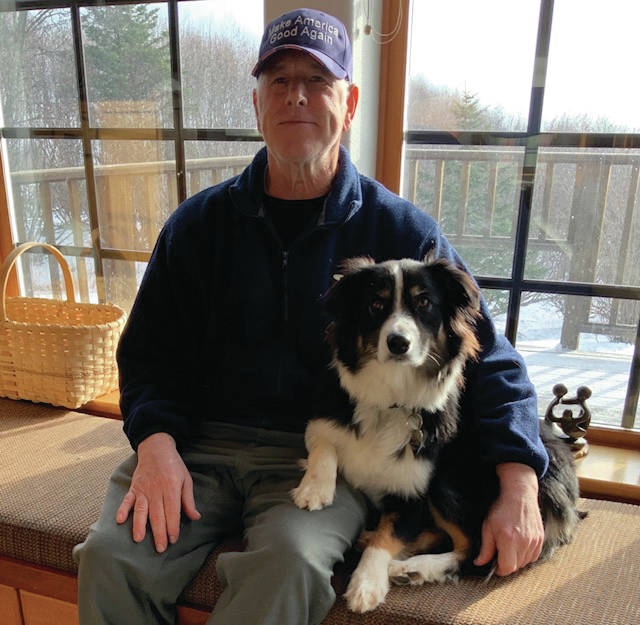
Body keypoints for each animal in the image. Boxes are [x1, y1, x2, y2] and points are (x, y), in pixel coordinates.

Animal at [290, 256, 584, 612]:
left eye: (424, 302)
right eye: (375, 304)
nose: (398, 342)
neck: (392, 398)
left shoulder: (412, 491)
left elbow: (389, 537)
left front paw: (366, 583)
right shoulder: (325, 419)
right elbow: (324, 446)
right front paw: (314, 489)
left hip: (447, 482)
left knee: (473, 550)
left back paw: (411, 568)